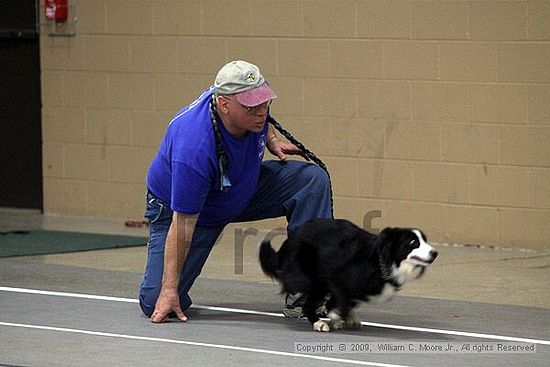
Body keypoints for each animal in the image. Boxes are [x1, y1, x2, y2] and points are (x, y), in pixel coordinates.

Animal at [260, 218, 440, 334]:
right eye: (413, 243)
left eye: (425, 240)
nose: (435, 253)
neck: (380, 259)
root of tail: (291, 239)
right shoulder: (336, 279)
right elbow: (341, 302)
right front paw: (336, 316)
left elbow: (348, 301)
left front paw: (343, 317)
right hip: (314, 279)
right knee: (309, 303)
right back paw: (318, 323)